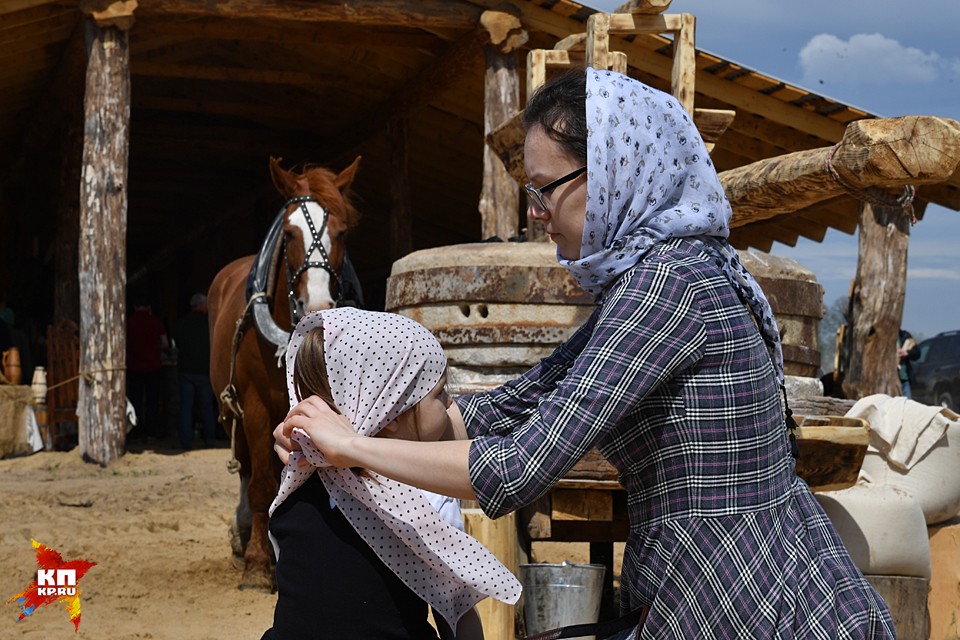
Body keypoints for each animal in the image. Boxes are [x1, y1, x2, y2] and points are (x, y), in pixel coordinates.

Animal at [209, 156, 360, 592]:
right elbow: (261, 483)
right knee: (247, 467)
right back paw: (244, 534)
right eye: (290, 233)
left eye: (342, 231)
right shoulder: (256, 406)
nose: (319, 304)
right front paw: (259, 564)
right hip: (231, 411)